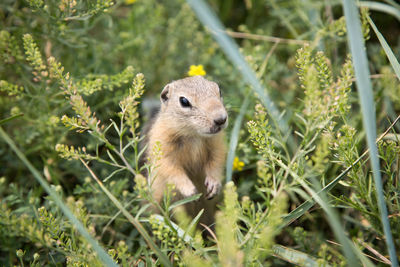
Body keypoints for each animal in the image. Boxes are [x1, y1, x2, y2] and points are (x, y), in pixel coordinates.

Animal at [144, 75, 227, 228]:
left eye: (219, 90)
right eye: (184, 101)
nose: (221, 119)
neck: (194, 135)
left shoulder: (217, 145)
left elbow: (216, 162)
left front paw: (214, 184)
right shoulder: (162, 147)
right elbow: (171, 169)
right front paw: (190, 190)